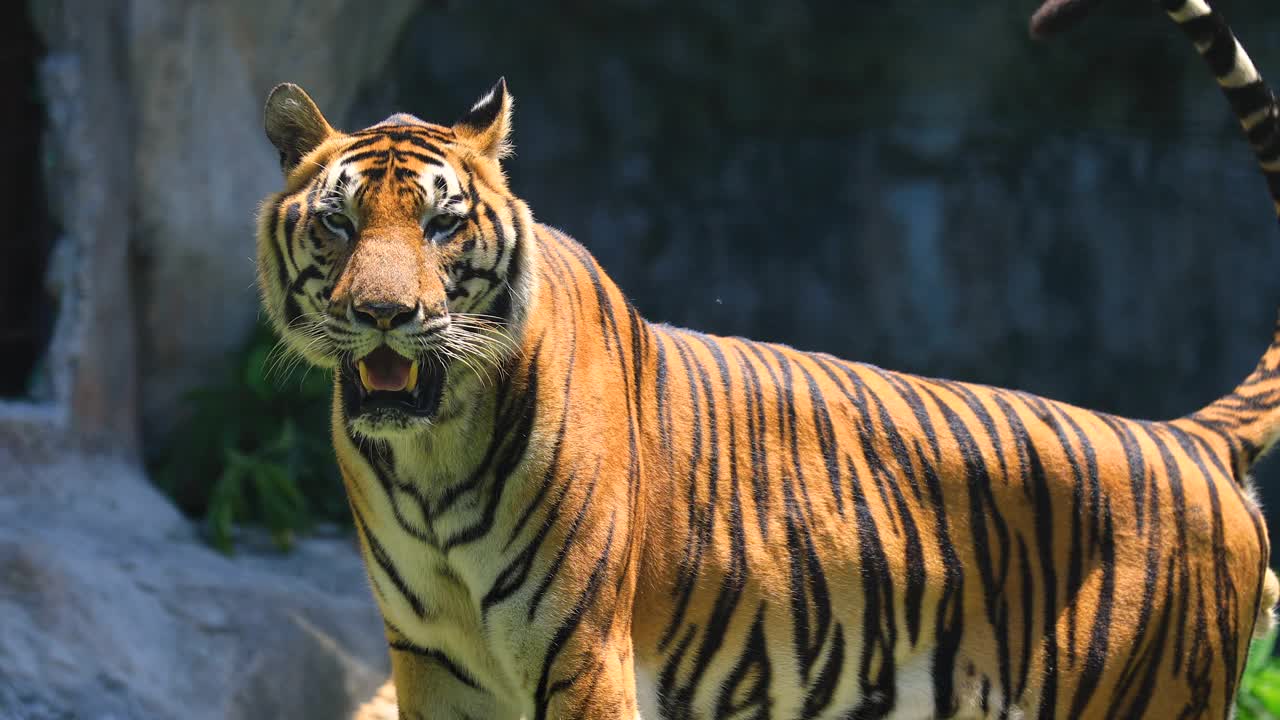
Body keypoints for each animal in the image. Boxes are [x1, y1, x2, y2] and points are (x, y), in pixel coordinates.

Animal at [257, 0, 1280, 712]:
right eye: (340, 224)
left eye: (442, 225)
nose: (384, 314)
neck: (430, 455)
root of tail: (1188, 438)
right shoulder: (434, 661)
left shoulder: (582, 652)